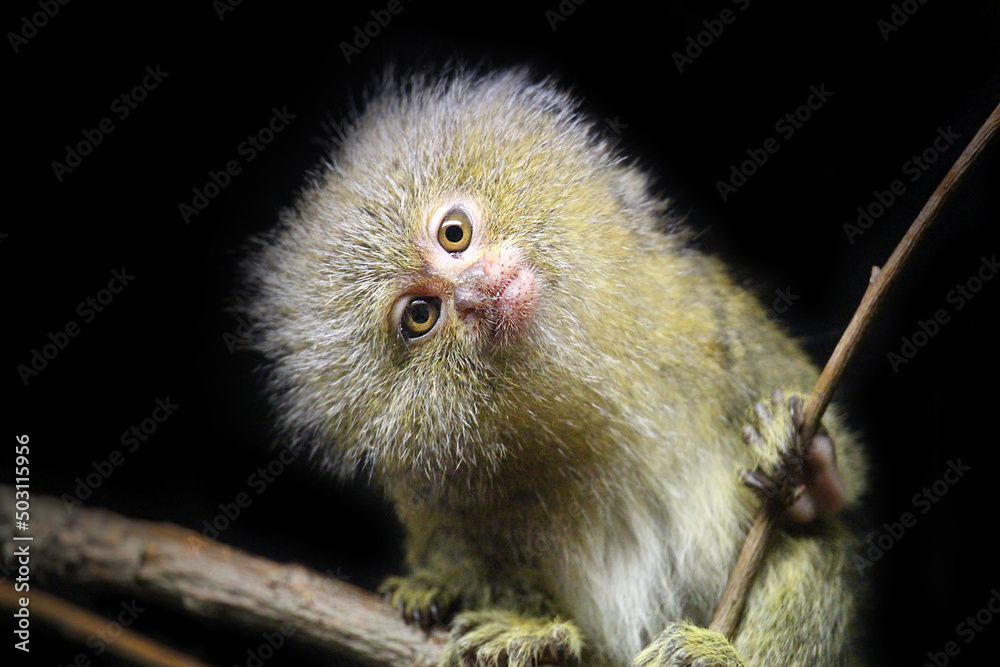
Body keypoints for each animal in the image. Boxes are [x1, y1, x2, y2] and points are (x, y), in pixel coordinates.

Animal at [240, 68, 868, 666]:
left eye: (454, 232)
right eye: (421, 315)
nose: (477, 292)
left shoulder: (710, 320)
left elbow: (838, 493)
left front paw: (805, 462)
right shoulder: (442, 497)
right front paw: (533, 630)